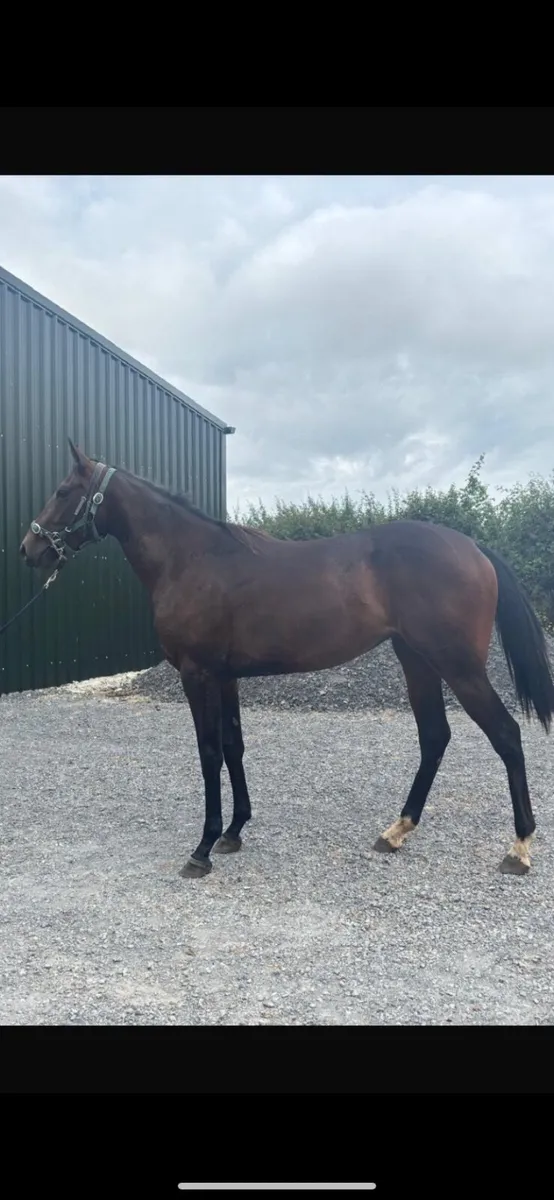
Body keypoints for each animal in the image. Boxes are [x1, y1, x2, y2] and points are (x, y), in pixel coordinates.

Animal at [20, 439, 554, 881]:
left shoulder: (198, 674)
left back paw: (519, 847)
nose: (30, 548)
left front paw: (203, 848)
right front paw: (234, 832)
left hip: (459, 667)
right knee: (435, 737)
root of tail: (473, 547)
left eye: (64, 491)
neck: (192, 559)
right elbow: (233, 746)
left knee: (505, 734)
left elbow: (209, 752)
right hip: (417, 661)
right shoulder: (226, 676)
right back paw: (397, 831)